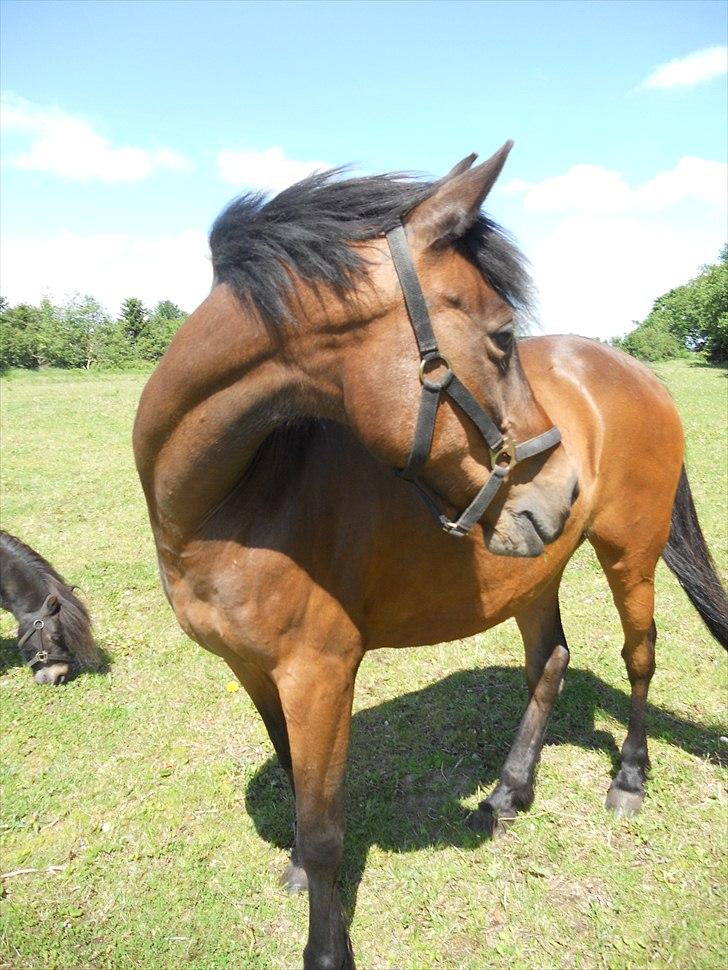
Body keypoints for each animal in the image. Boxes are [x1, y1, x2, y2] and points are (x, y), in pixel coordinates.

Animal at [134, 146, 724, 968]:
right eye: (503, 336)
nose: (563, 490)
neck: (227, 503)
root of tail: (637, 370)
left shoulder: (319, 673)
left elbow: (325, 828)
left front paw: (327, 945)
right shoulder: (252, 669)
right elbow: (295, 783)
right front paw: (296, 868)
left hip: (629, 554)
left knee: (639, 656)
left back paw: (630, 779)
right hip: (534, 570)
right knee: (550, 664)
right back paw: (507, 794)